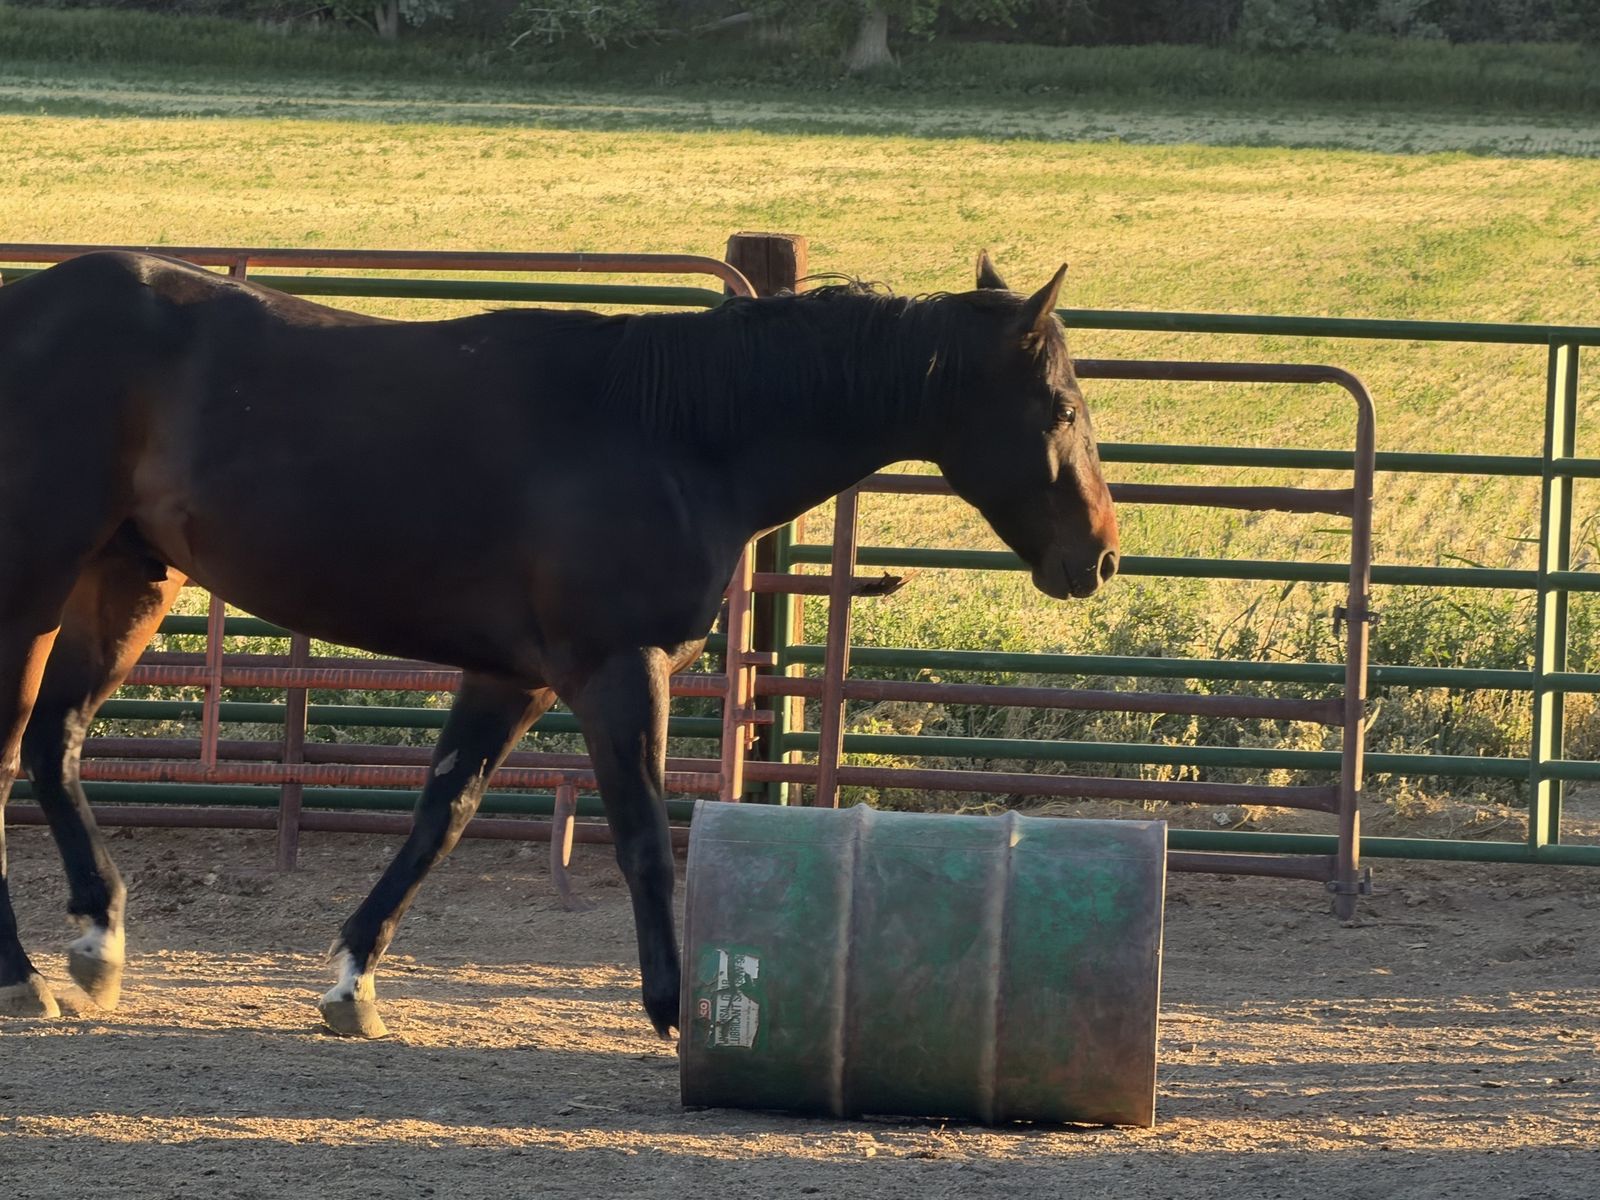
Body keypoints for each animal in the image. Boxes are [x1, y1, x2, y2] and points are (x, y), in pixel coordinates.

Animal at [0, 249, 1118, 1040]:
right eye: (1062, 408)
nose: (1100, 555)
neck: (676, 436)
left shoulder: (513, 679)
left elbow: (441, 818)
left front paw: (353, 983)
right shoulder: (617, 671)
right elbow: (645, 840)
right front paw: (674, 1009)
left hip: (131, 582)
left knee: (55, 747)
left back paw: (98, 941)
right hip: (33, 585)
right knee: (13, 753)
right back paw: (25, 976)